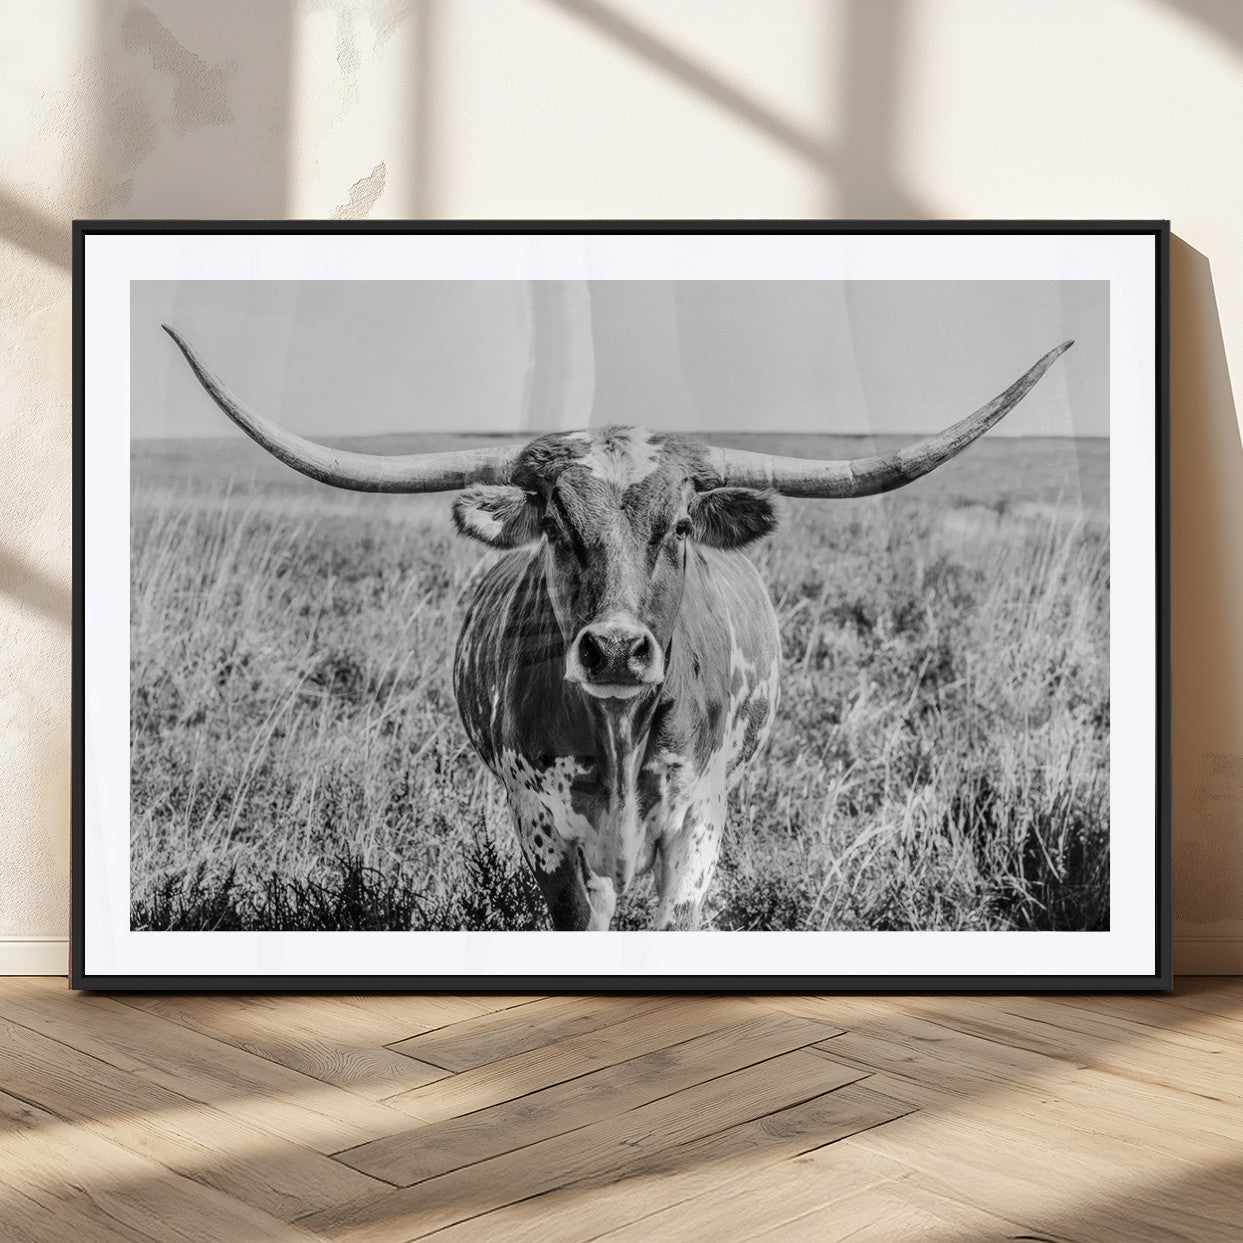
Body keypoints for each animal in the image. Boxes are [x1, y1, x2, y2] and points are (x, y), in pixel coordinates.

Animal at [164, 325, 1071, 930]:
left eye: (679, 524)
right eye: (556, 524)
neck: (620, 729)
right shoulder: (543, 826)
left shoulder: (699, 821)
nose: (615, 648)